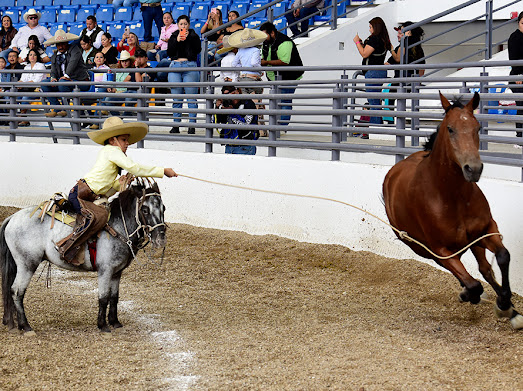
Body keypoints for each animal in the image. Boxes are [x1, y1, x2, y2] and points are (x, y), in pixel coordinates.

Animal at [0, 183, 166, 334]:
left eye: (163, 208)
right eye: (145, 209)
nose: (160, 239)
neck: (117, 227)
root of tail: (12, 218)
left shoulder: (116, 272)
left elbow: (114, 297)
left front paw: (115, 322)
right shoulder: (105, 271)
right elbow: (103, 297)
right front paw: (103, 325)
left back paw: (16, 324)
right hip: (27, 264)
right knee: (17, 291)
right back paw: (26, 327)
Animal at [382, 92, 523, 330]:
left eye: (477, 127)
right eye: (450, 129)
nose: (473, 169)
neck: (451, 196)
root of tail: (393, 173)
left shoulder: (485, 230)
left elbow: (503, 257)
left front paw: (506, 305)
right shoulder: (441, 249)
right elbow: (473, 284)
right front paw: (472, 295)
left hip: (472, 242)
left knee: (485, 268)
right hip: (421, 247)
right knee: (465, 274)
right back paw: (469, 294)